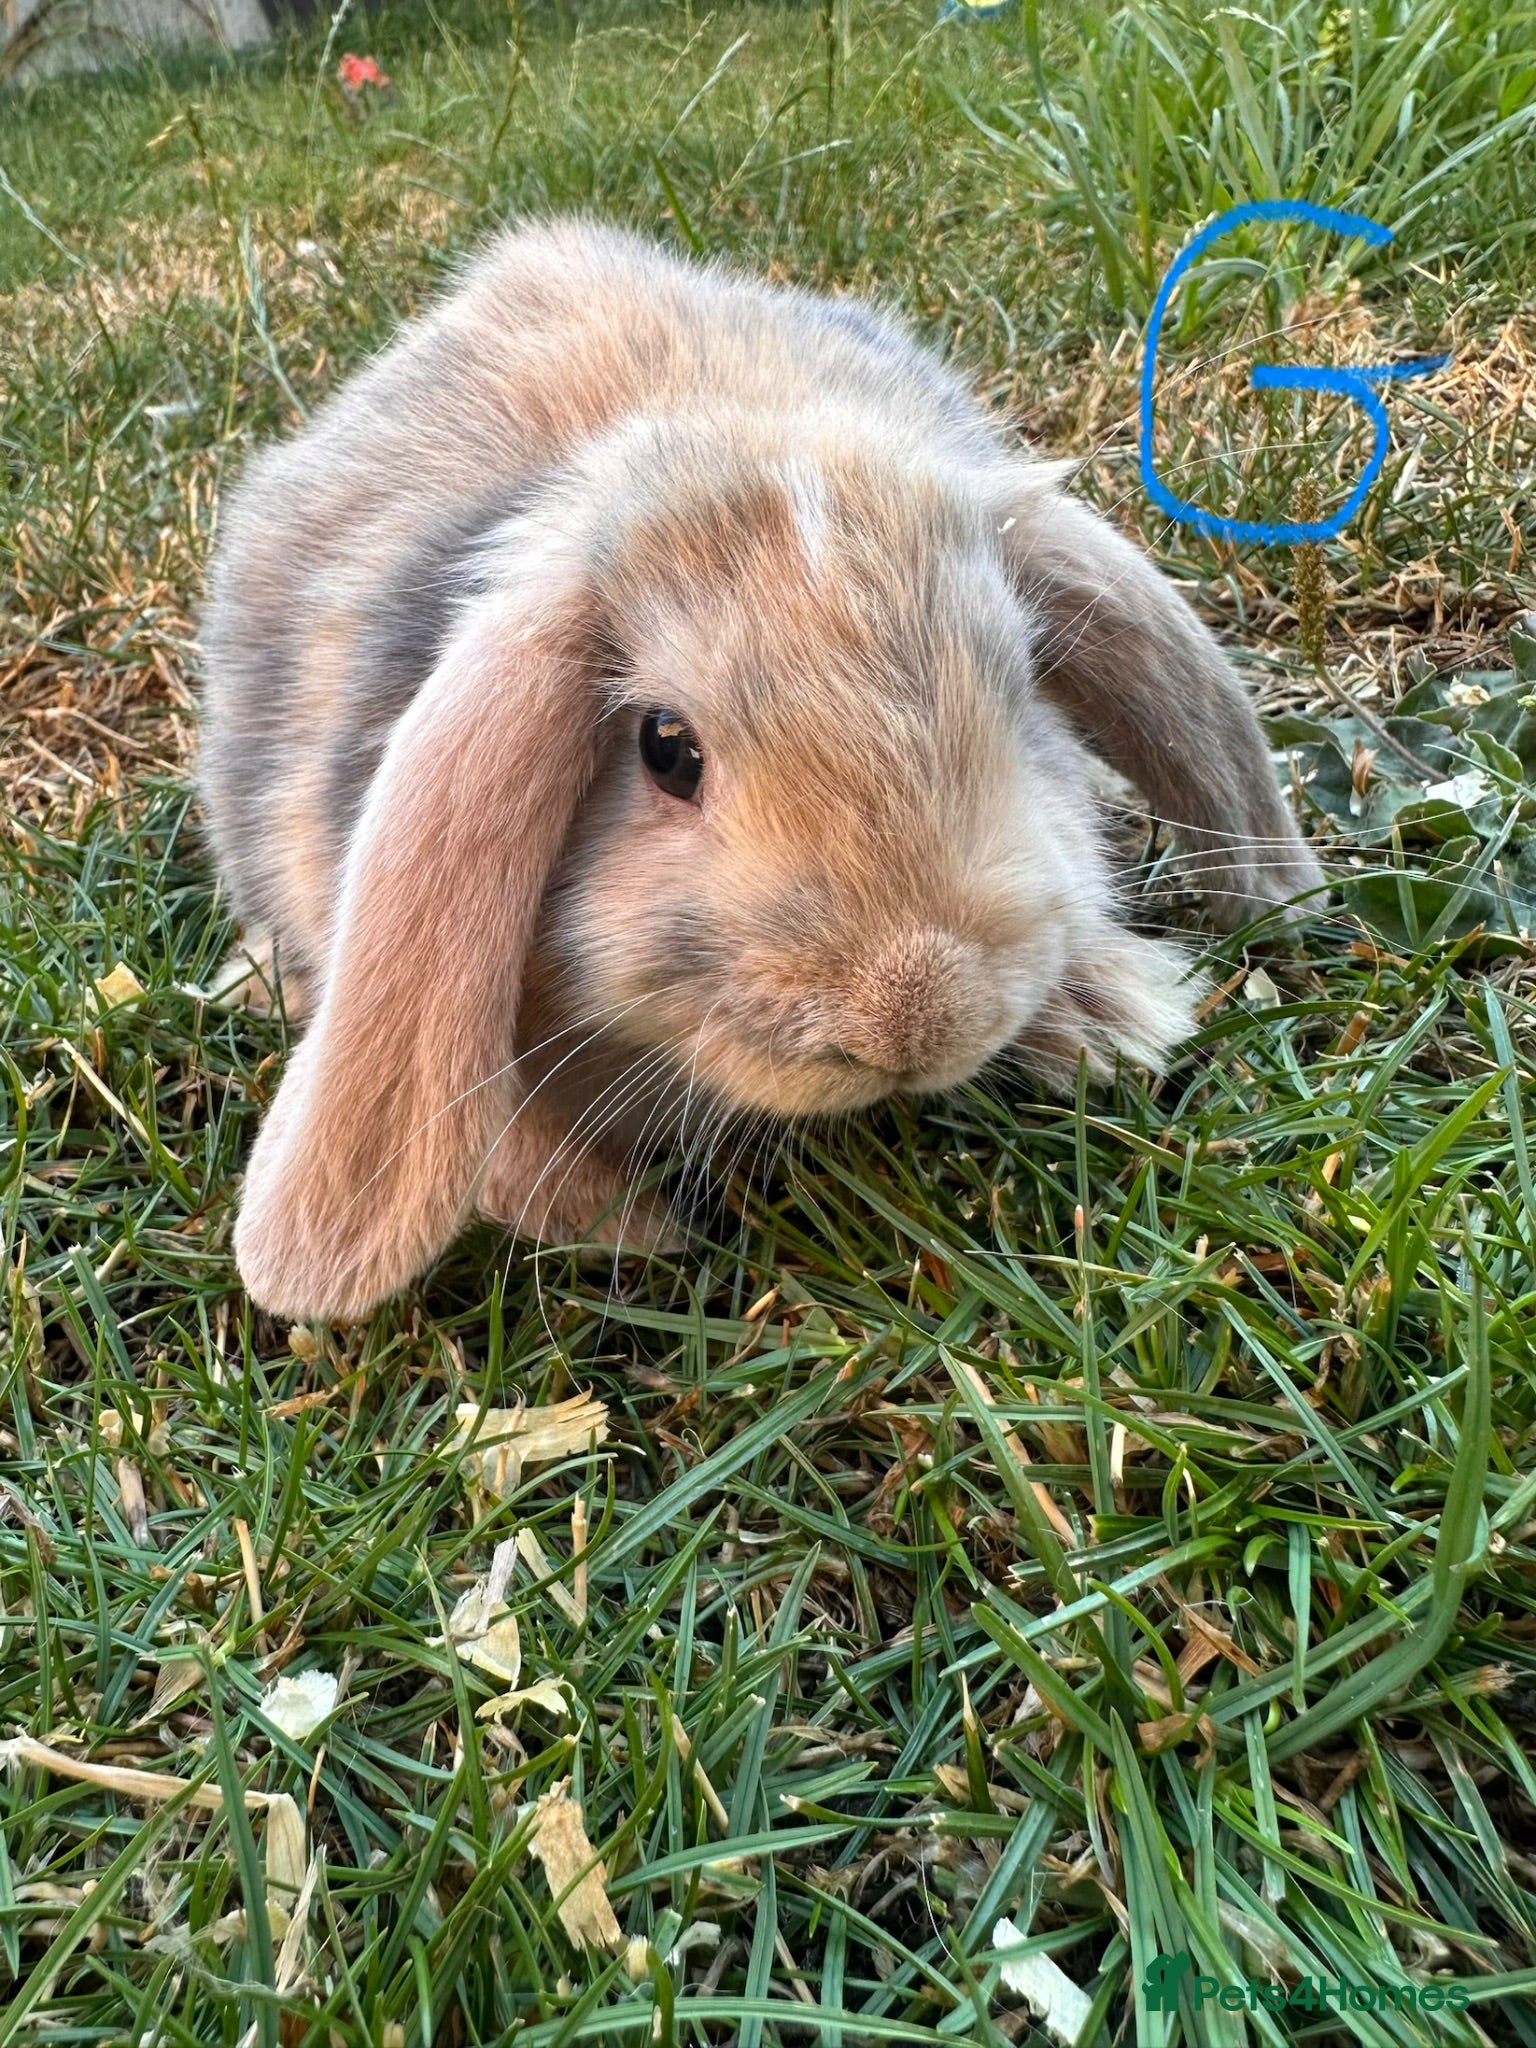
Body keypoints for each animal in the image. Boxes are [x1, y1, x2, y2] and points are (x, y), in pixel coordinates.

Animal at [200, 216, 1325, 1322]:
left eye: (1021, 686)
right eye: (667, 747)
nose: (920, 1018)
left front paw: (1112, 1022)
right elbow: (502, 1137)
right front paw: (629, 1228)